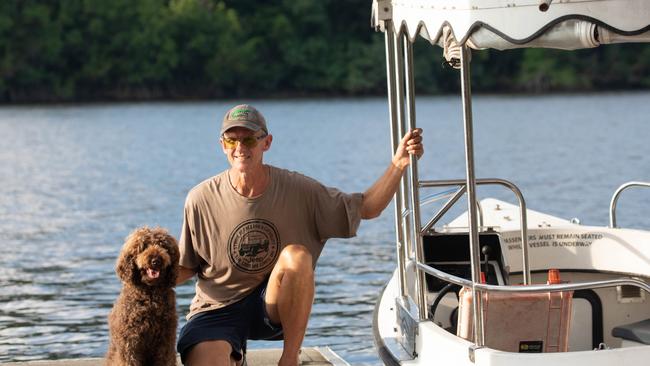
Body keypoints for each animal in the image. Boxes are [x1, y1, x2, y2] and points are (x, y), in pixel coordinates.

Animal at [105, 227, 178, 364]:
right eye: (144, 246)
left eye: (163, 246)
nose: (156, 260)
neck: (150, 294)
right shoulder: (129, 343)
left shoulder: (166, 341)